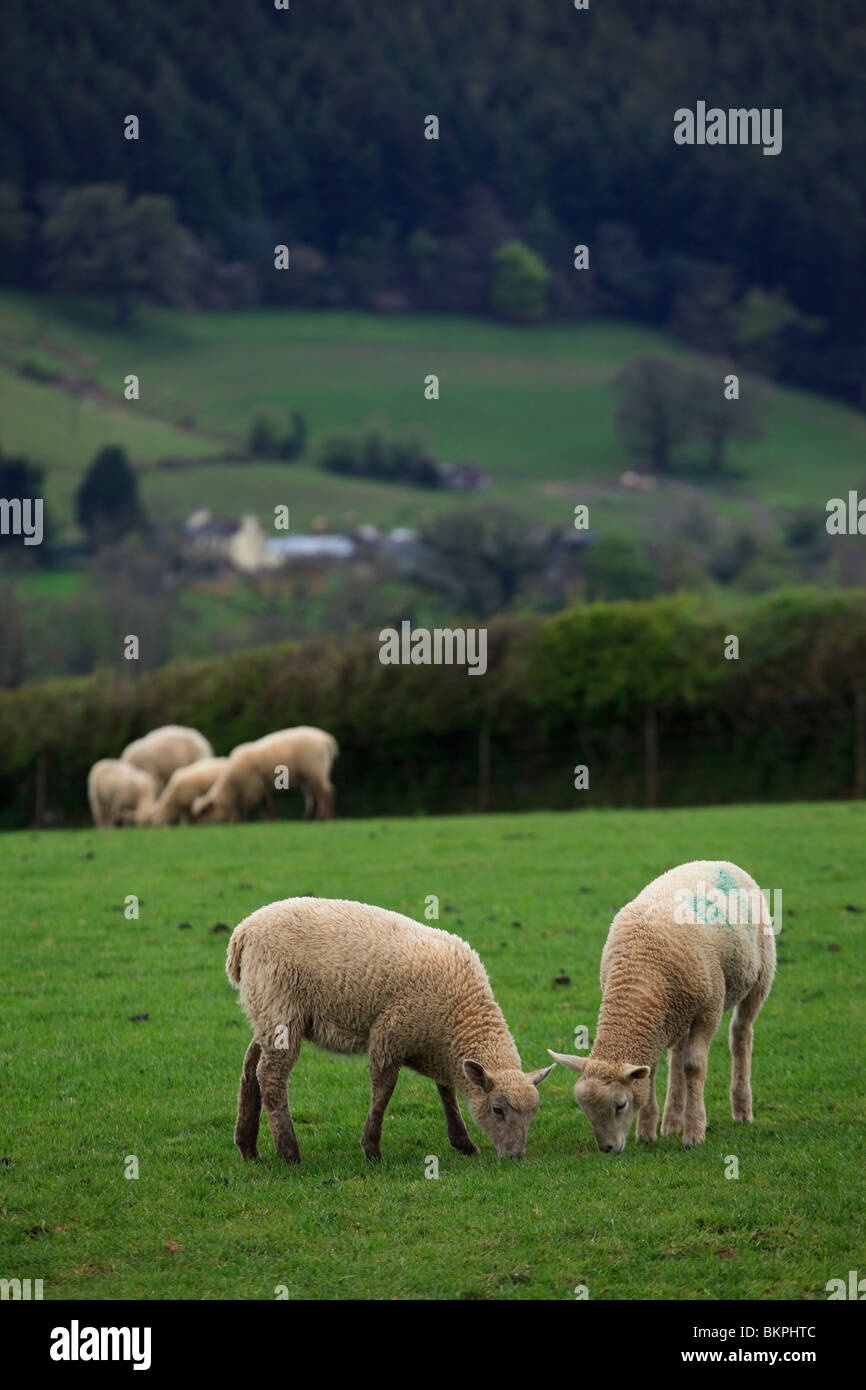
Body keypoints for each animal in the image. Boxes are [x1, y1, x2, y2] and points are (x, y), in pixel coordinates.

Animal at [194, 728, 339, 822]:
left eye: (204, 813)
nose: (197, 826)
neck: (233, 784)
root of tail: (327, 739)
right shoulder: (262, 787)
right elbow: (268, 806)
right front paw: (272, 821)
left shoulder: (253, 787)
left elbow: (244, 805)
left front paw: (238, 820)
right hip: (308, 775)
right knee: (313, 797)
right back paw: (310, 819)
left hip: (315, 770)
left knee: (326, 792)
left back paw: (325, 818)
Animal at [226, 889, 553, 1162]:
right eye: (498, 1109)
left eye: (534, 1113)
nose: (515, 1156)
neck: (462, 1014)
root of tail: (243, 932)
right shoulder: (390, 1033)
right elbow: (384, 1090)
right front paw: (371, 1149)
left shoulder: (436, 1047)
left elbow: (446, 1091)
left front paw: (463, 1142)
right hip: (281, 1007)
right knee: (271, 1076)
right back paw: (289, 1153)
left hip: (266, 1009)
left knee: (250, 1066)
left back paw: (248, 1147)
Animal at [547, 856, 778, 1150]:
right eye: (583, 1108)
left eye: (620, 1105)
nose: (607, 1148)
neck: (640, 969)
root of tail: (717, 860)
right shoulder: (659, 1019)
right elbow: (653, 1070)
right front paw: (647, 1132)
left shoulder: (709, 1010)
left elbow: (694, 1066)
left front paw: (694, 1133)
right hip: (677, 1012)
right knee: (677, 1054)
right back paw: (671, 1121)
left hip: (760, 977)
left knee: (740, 1033)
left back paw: (741, 1110)